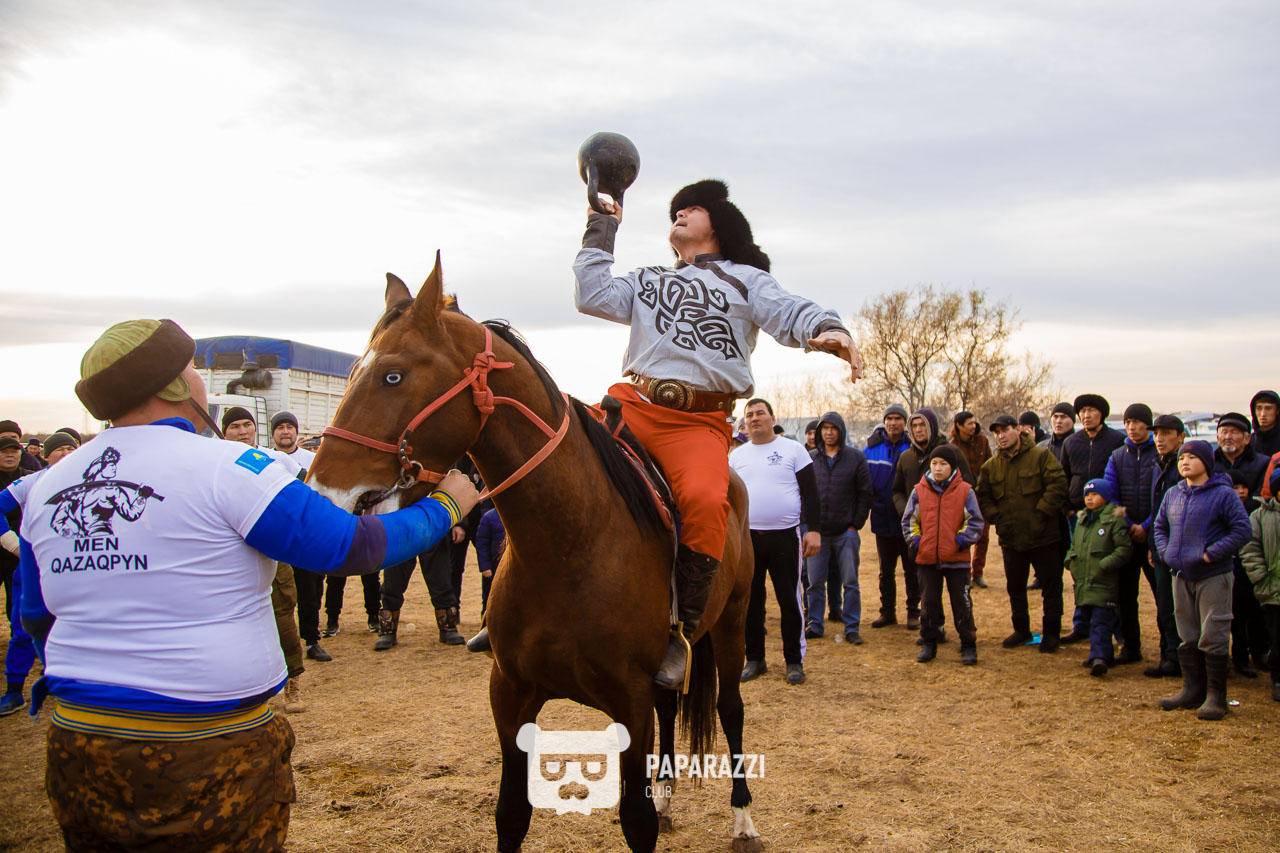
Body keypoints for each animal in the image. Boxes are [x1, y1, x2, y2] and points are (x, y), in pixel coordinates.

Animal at [308, 258, 764, 853]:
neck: (569, 546)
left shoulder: (630, 703)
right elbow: (511, 814)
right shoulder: (511, 695)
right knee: (673, 707)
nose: (319, 490)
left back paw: (743, 818)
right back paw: (669, 800)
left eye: (392, 376)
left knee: (729, 709)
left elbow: (636, 821)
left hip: (731, 620)